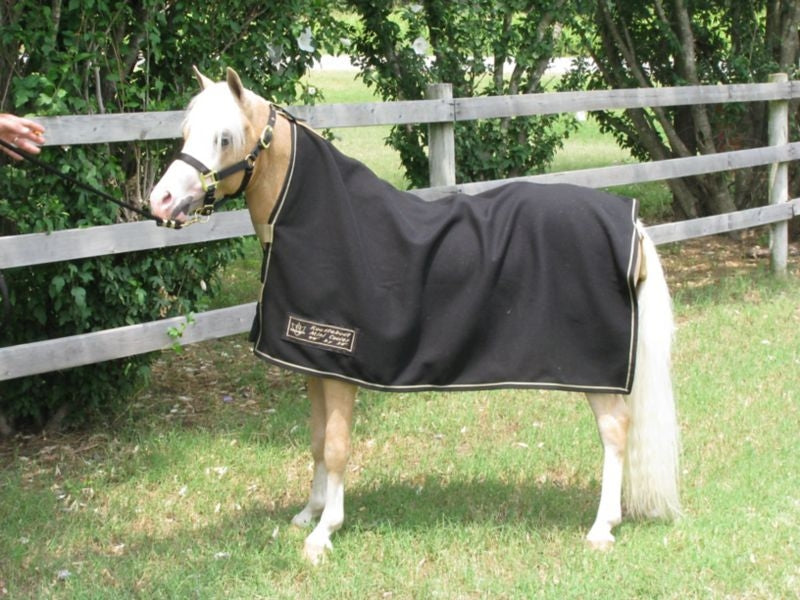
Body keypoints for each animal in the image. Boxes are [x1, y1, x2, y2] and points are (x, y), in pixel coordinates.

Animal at [148, 67, 680, 565]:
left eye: (224, 138)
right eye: (186, 130)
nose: (161, 201)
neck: (315, 220)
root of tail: (631, 224)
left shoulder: (340, 368)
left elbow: (337, 446)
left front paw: (324, 533)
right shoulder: (313, 364)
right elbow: (318, 441)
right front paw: (309, 512)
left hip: (597, 373)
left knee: (615, 433)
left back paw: (602, 528)